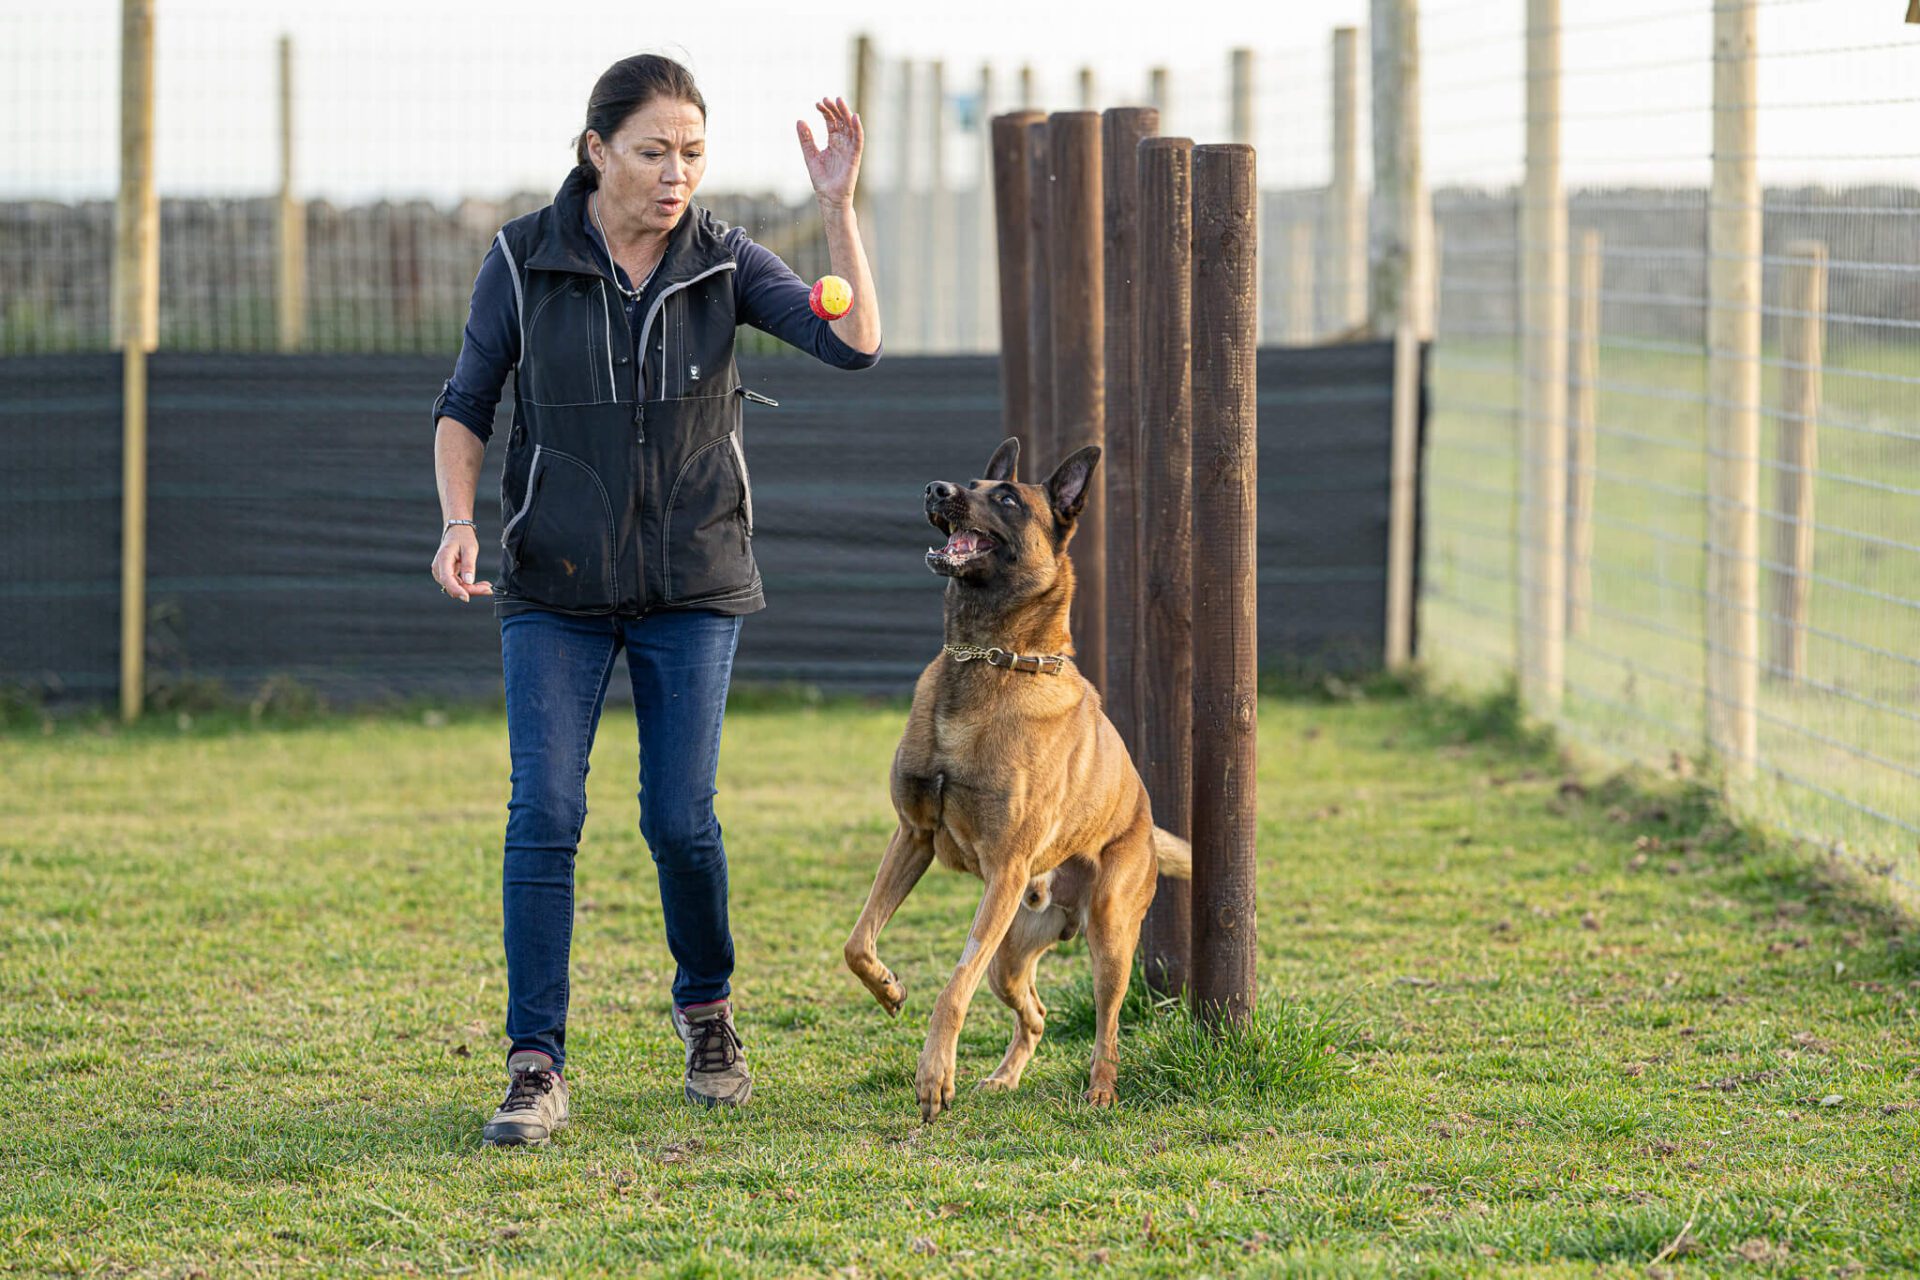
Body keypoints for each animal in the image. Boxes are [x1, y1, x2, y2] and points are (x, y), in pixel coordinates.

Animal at [840, 433, 1182, 1120]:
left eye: (1005, 498)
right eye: (969, 483)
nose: (935, 488)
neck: (988, 659)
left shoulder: (1002, 871)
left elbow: (953, 986)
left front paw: (934, 1075)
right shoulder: (912, 837)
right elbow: (858, 941)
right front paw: (888, 987)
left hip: (1108, 934)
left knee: (1106, 1024)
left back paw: (1100, 1090)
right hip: (1013, 949)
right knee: (1038, 1011)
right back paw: (1004, 1077)